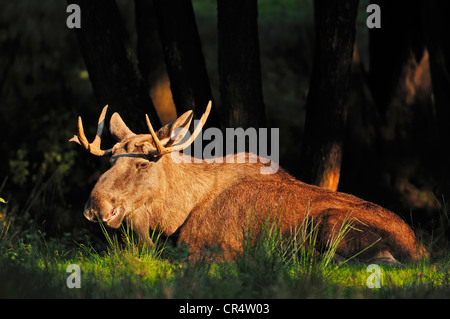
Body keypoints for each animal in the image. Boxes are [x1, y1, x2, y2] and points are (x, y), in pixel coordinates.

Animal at [68, 104, 428, 264]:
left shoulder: (209, 248)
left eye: (143, 163)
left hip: (334, 224)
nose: (95, 207)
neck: (174, 217)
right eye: (110, 159)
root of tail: (421, 250)